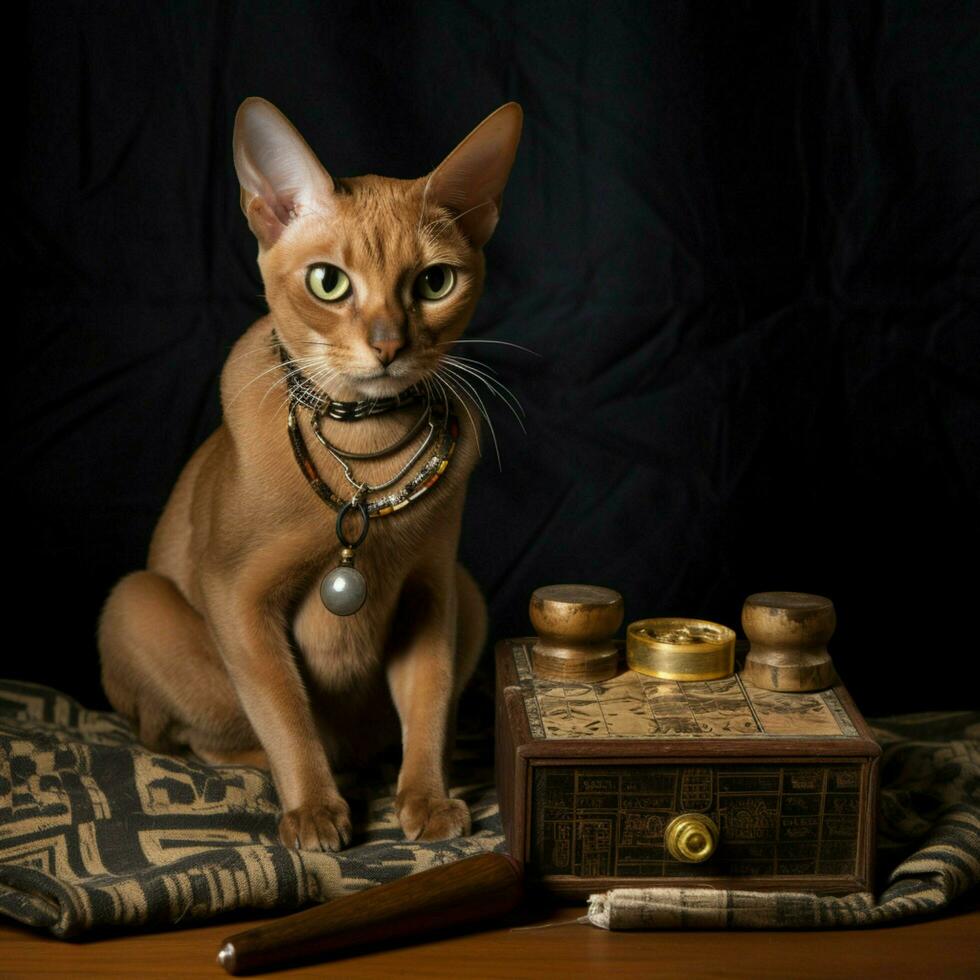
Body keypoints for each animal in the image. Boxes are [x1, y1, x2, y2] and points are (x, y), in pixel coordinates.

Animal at [98, 95, 524, 852]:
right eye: (330, 282)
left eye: (435, 282)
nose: (388, 345)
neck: (362, 446)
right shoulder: (239, 596)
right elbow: (285, 711)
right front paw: (314, 811)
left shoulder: (431, 591)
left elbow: (429, 698)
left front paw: (426, 799)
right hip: (136, 602)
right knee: (202, 738)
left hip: (471, 595)